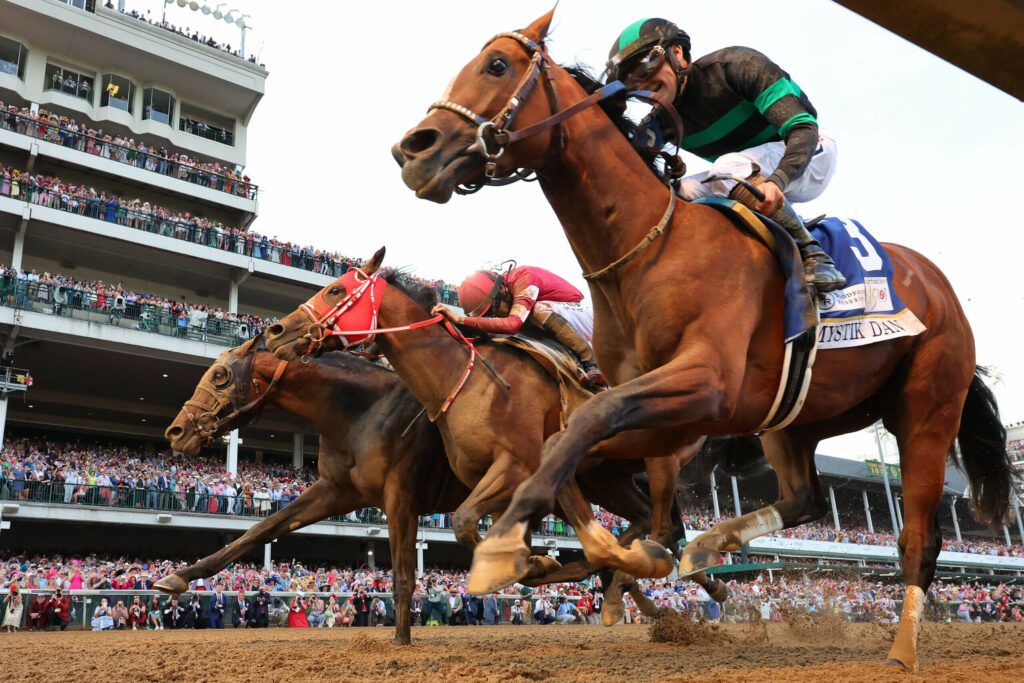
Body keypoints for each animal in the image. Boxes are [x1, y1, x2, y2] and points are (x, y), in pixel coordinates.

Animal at [260, 264, 733, 618]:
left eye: (336, 289)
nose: (275, 331)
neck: (463, 377)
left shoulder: (519, 465)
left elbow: (467, 522)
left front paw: (541, 563)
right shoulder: (498, 478)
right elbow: (476, 528)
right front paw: (540, 563)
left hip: (658, 458)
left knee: (663, 525)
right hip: (606, 477)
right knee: (648, 522)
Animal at [389, 9, 1015, 671]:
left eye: (497, 65)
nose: (413, 150)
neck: (648, 247)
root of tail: (936, 283)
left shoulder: (705, 384)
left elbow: (590, 426)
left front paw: (509, 545)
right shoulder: (664, 408)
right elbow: (590, 455)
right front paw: (602, 555)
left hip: (927, 406)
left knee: (919, 535)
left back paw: (901, 650)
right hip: (797, 416)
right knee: (807, 499)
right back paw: (710, 546)